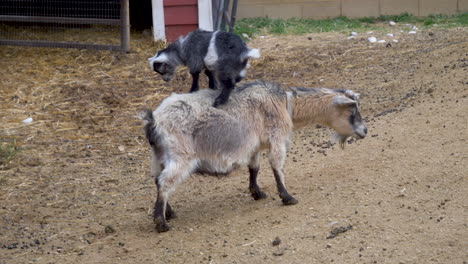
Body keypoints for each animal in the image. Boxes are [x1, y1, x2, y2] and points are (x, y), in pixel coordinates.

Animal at [141, 81, 368, 233]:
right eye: (352, 109)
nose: (365, 131)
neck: (286, 103)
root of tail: (154, 120)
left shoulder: (255, 145)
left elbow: (255, 168)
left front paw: (257, 192)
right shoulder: (278, 138)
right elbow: (277, 166)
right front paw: (287, 197)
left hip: (158, 156)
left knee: (157, 180)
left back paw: (168, 212)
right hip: (181, 156)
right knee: (165, 182)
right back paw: (161, 222)